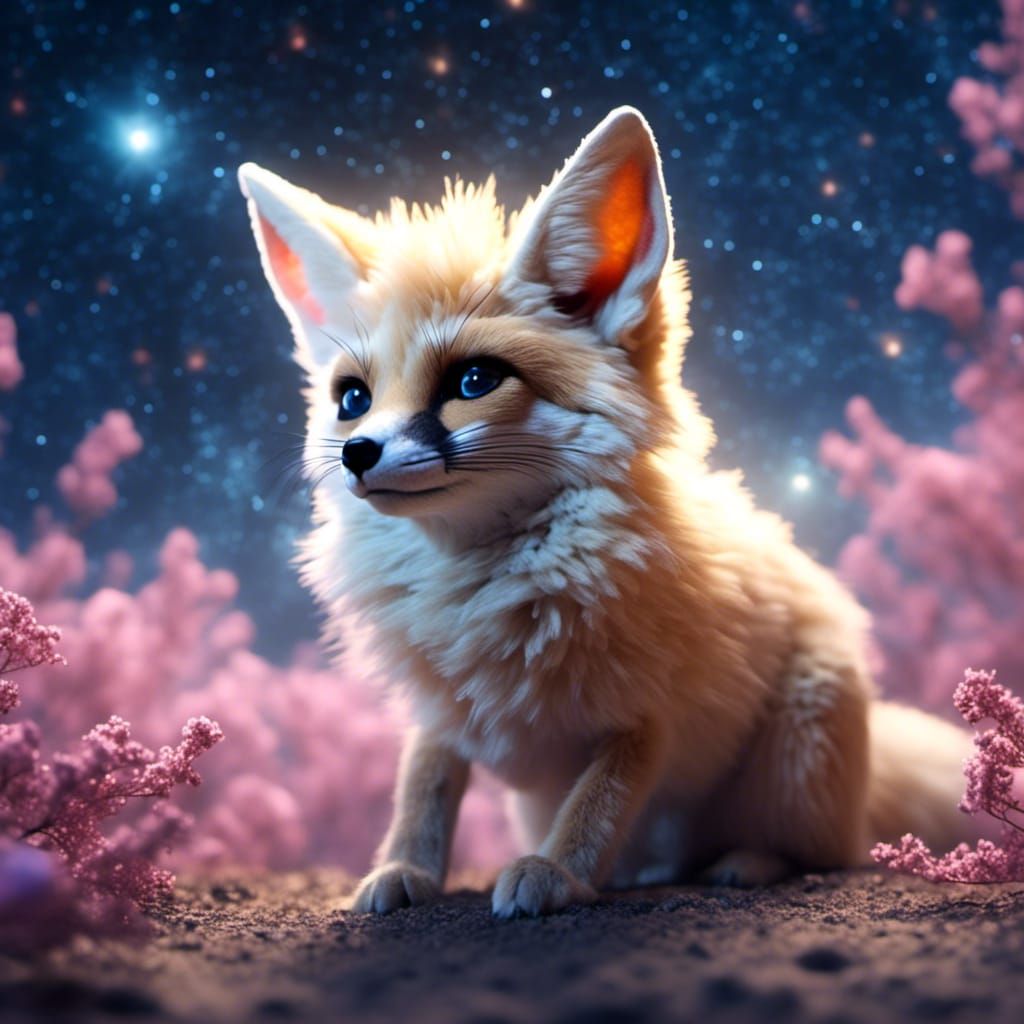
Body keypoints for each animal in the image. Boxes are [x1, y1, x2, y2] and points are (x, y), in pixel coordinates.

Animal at [237, 107, 973, 917]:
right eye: (352, 398)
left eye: (473, 381)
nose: (357, 453)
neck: (477, 583)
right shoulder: (443, 712)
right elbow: (420, 793)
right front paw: (400, 872)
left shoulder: (647, 715)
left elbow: (600, 801)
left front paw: (554, 875)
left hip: (799, 755)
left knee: (822, 854)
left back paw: (741, 863)